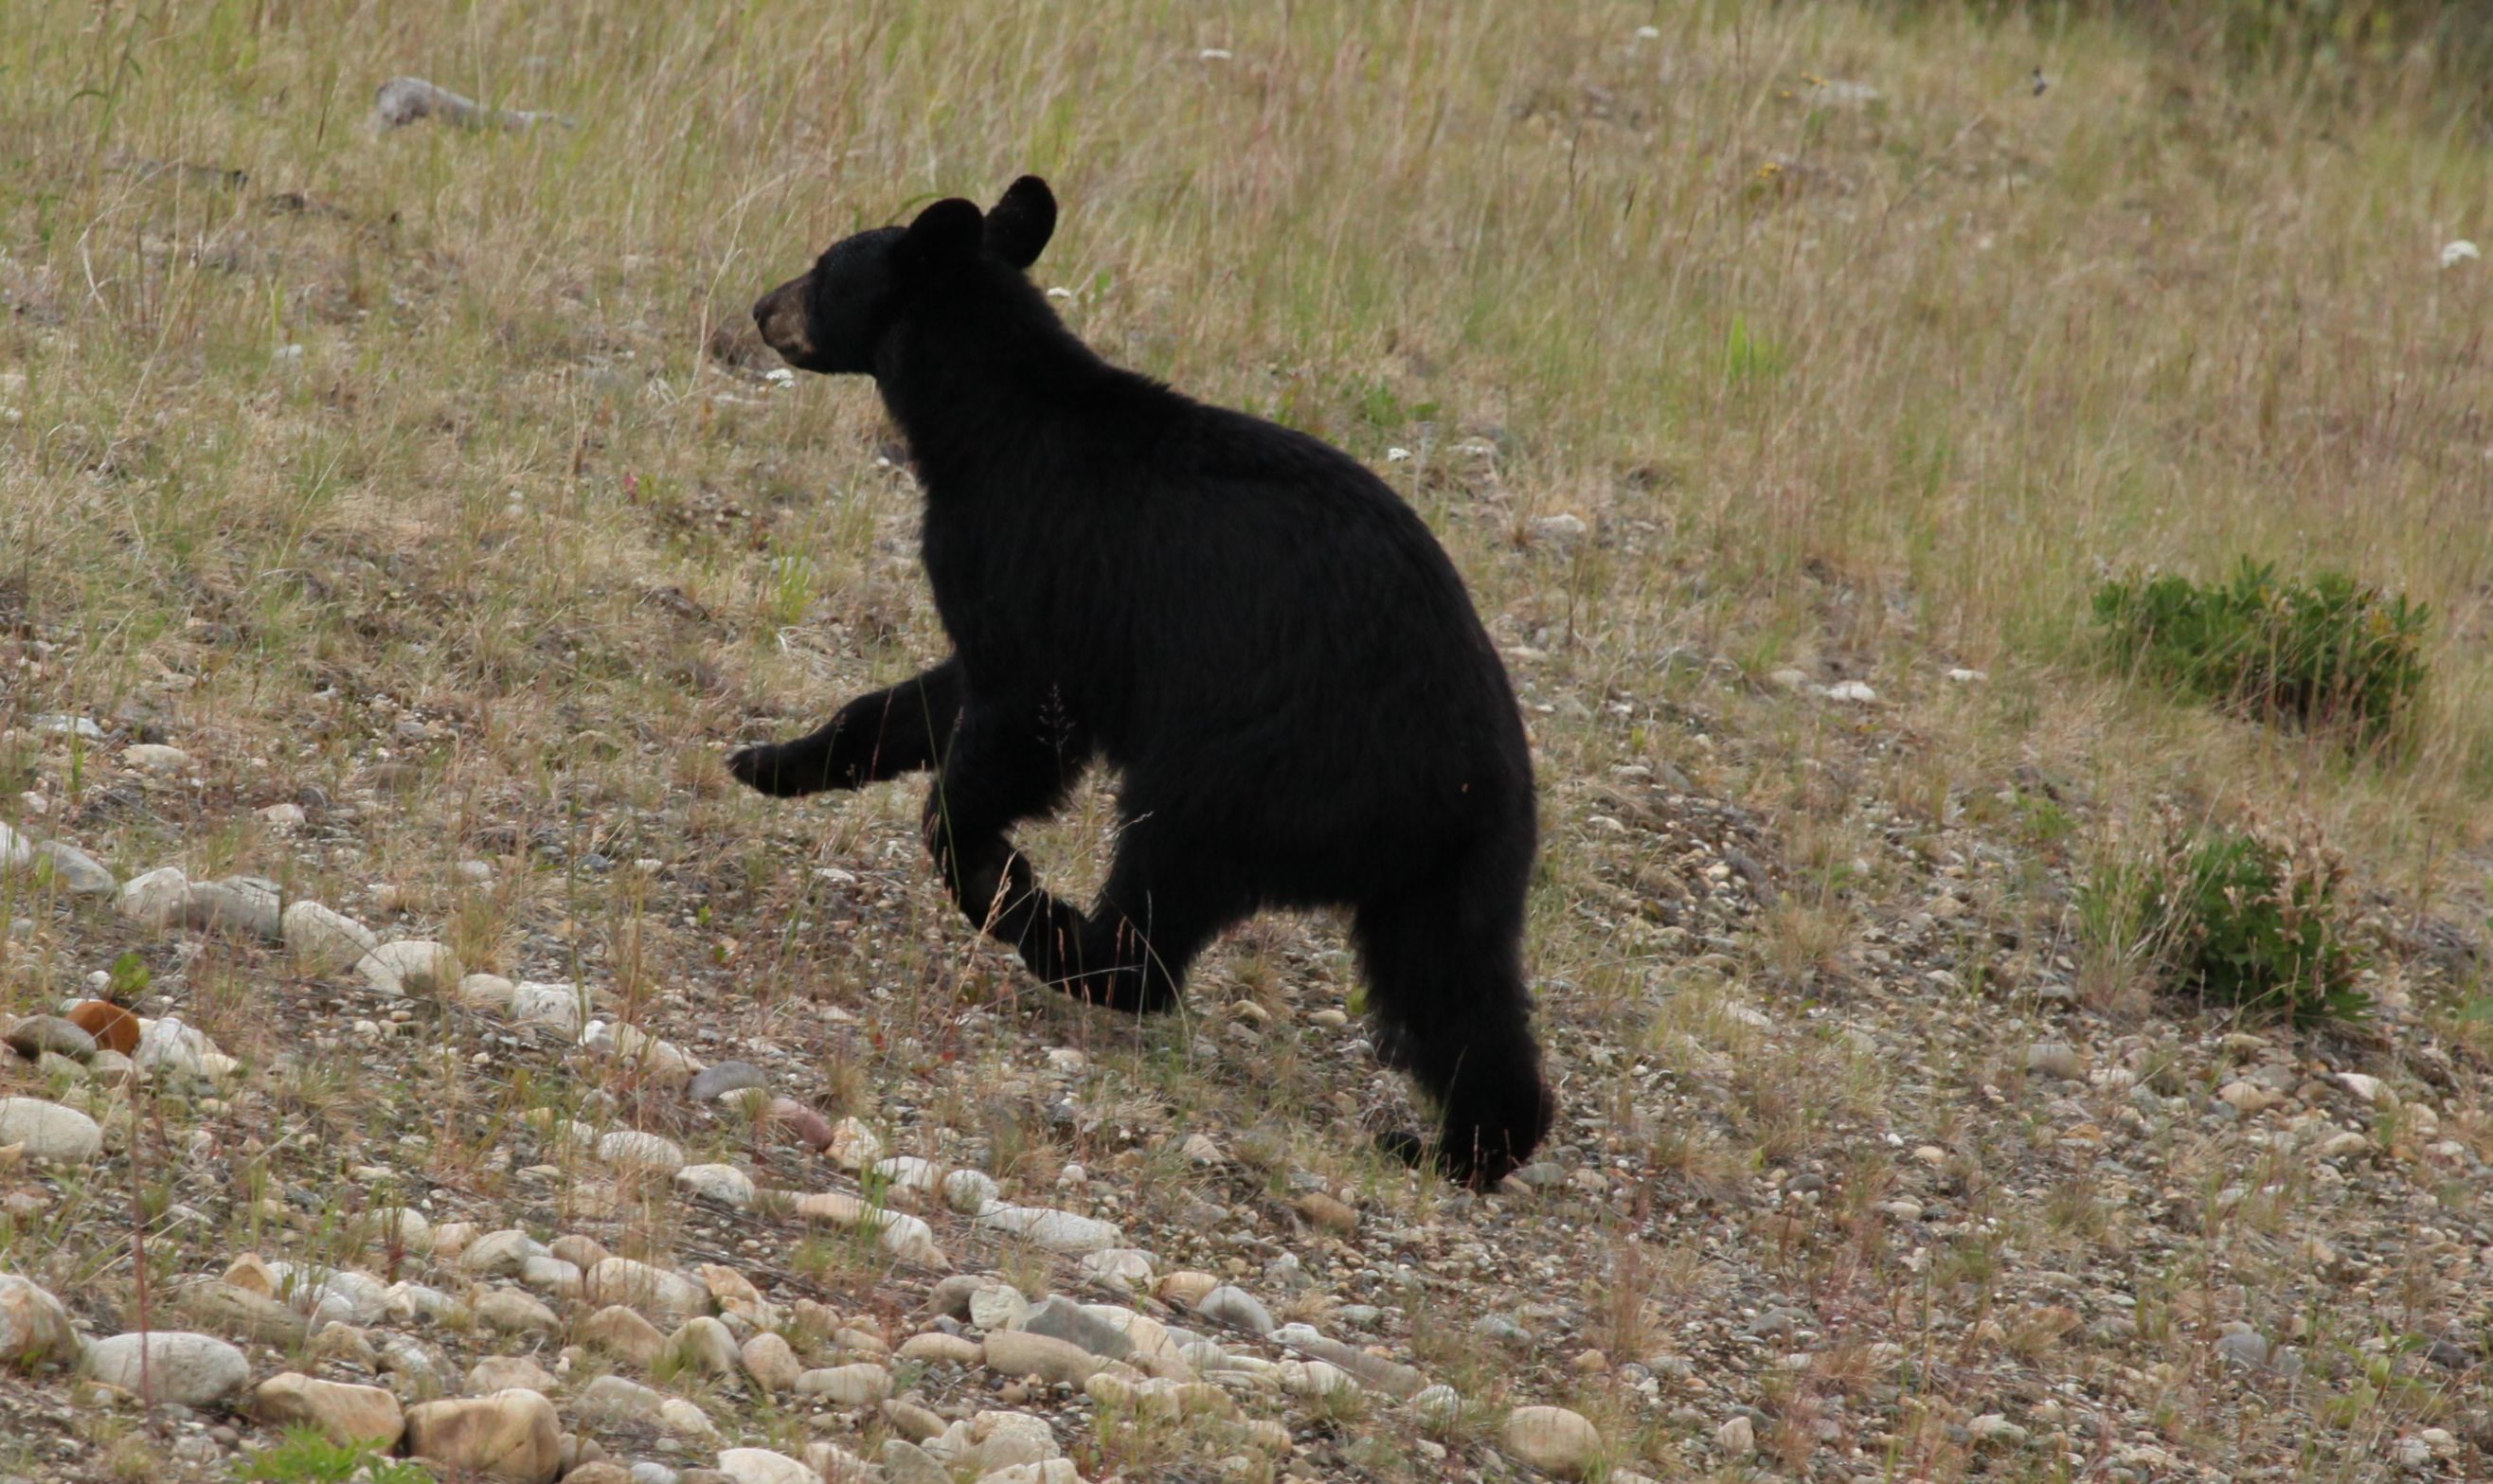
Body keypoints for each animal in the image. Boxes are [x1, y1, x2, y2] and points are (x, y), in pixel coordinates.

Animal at [727, 183, 1545, 1182]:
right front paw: (770, 760)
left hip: (1258, 769)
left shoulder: (1034, 564)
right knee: (1456, 980)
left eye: (823, 267)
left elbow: (1007, 736)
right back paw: (1464, 1143)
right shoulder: (1009, 607)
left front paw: (996, 872)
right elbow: (919, 698)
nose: (762, 307)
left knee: (1166, 876)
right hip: (1451, 862)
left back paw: (1060, 938)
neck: (985, 420)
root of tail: (1468, 778)